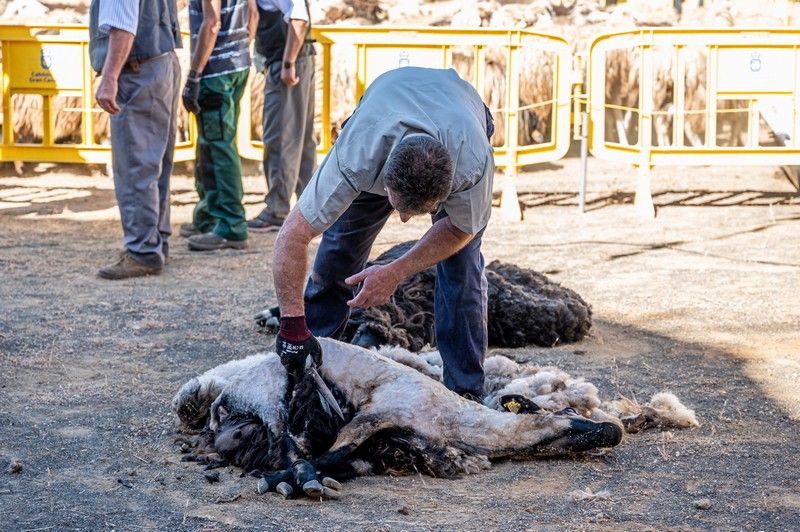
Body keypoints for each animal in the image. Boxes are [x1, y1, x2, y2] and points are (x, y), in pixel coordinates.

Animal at [173, 338, 624, 500]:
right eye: (566, 413)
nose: (611, 431)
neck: (458, 422)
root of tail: (227, 391)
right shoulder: (377, 413)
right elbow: (335, 451)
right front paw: (286, 478)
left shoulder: (401, 434)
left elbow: (348, 456)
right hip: (268, 395)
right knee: (286, 437)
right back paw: (299, 480)